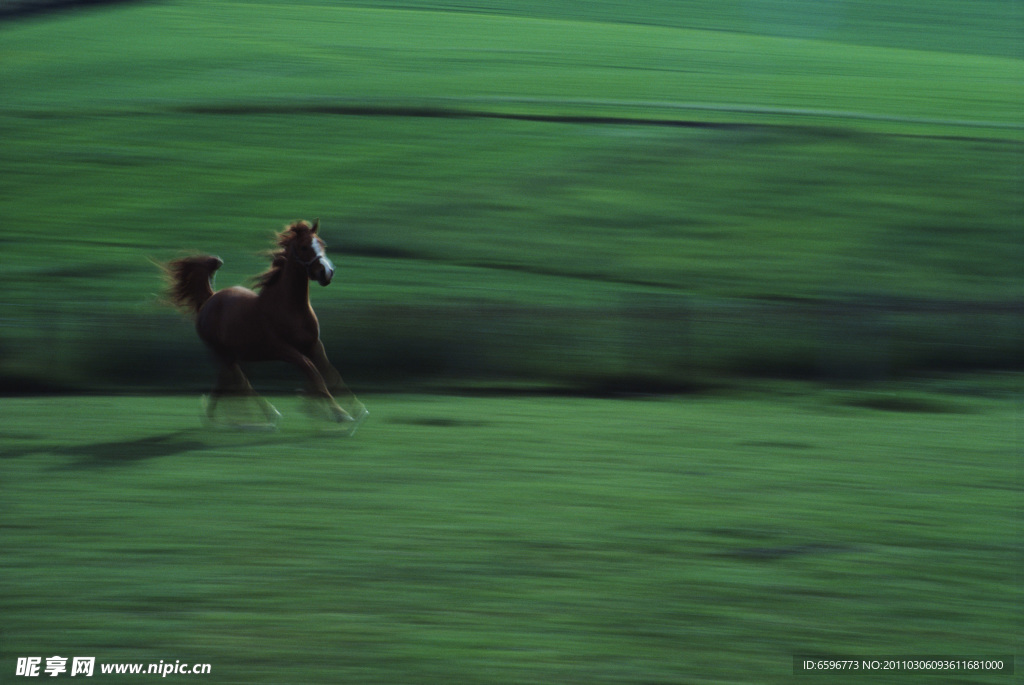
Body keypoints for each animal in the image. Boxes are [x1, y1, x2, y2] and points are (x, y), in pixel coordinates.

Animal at [161, 219, 366, 432]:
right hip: (221, 352)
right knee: (240, 381)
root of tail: (210, 298)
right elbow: (315, 373)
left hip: (234, 354)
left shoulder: (314, 345)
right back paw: (265, 416)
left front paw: (357, 411)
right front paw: (341, 415)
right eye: (303, 247)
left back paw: (218, 417)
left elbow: (332, 373)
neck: (290, 307)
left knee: (227, 380)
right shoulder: (285, 350)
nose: (327, 273)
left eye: (322, 243)